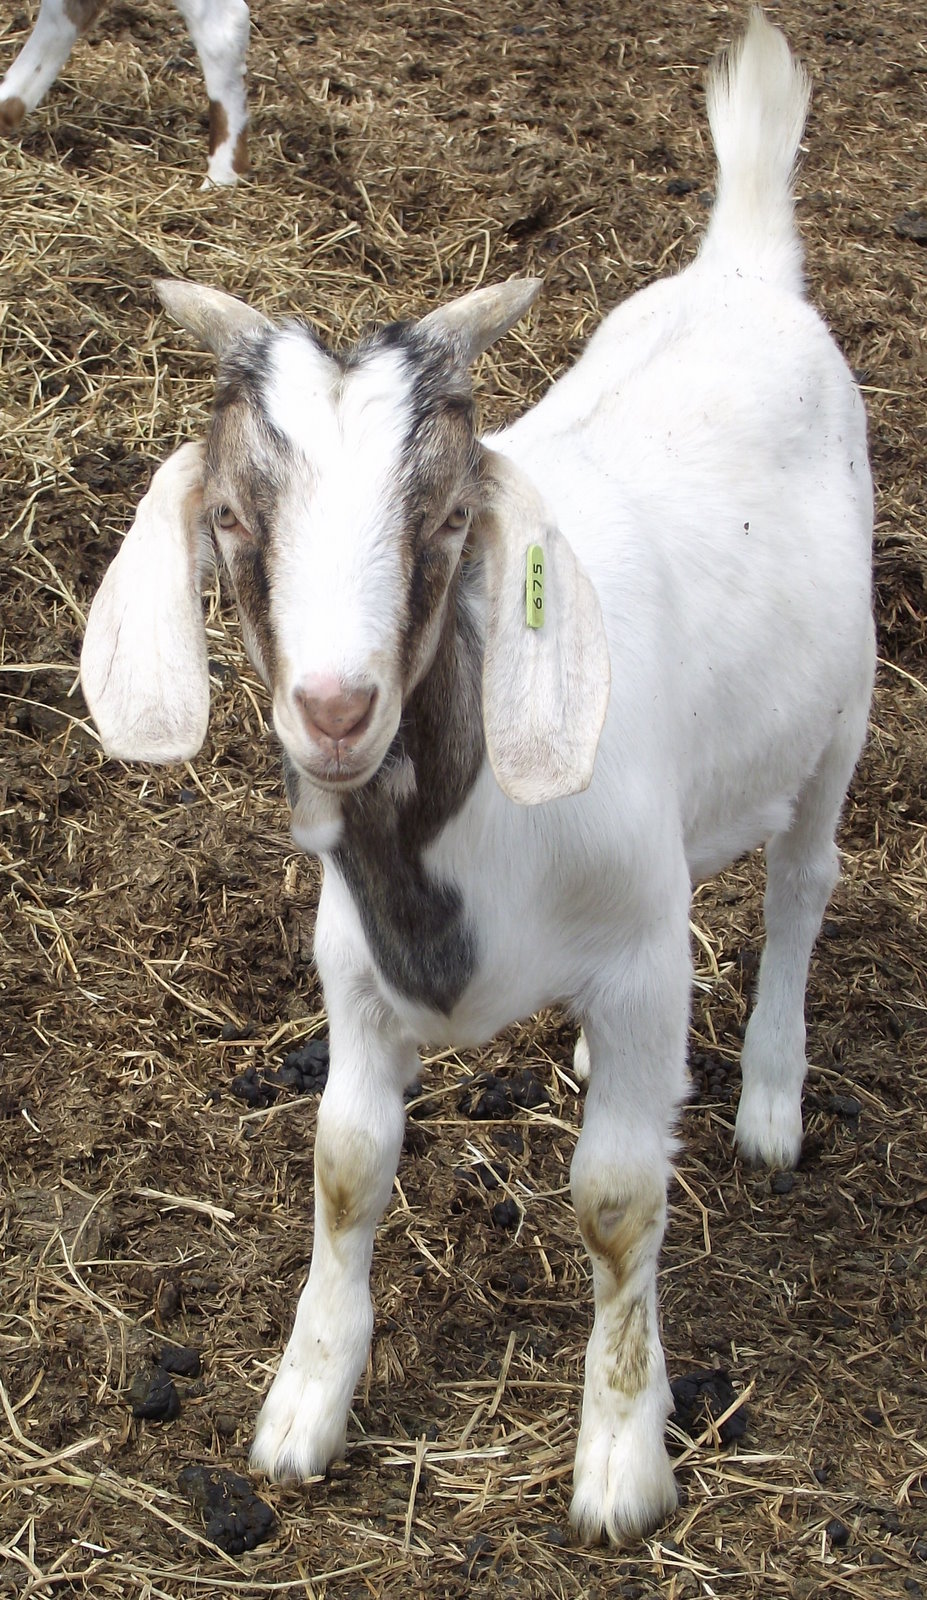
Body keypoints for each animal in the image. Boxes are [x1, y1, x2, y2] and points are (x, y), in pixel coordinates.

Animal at [80, 11, 875, 1543]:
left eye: (449, 518)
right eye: (232, 521)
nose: (335, 708)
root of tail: (743, 266)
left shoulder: (632, 946)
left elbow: (617, 1201)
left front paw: (621, 1463)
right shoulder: (353, 970)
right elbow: (343, 1168)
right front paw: (299, 1412)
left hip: (847, 705)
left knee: (802, 885)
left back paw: (763, 1099)